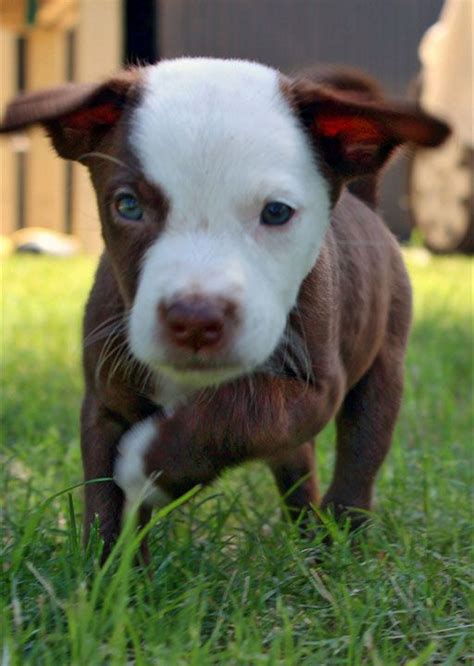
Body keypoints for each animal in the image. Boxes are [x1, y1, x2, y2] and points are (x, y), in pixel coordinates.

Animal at [0, 57, 450, 556]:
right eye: (128, 206)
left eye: (277, 212)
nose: (195, 319)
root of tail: (364, 201)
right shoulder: (105, 398)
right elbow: (104, 496)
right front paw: (107, 568)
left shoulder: (316, 389)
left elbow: (244, 411)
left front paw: (153, 464)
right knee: (296, 462)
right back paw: (308, 537)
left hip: (384, 364)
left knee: (360, 451)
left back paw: (341, 535)